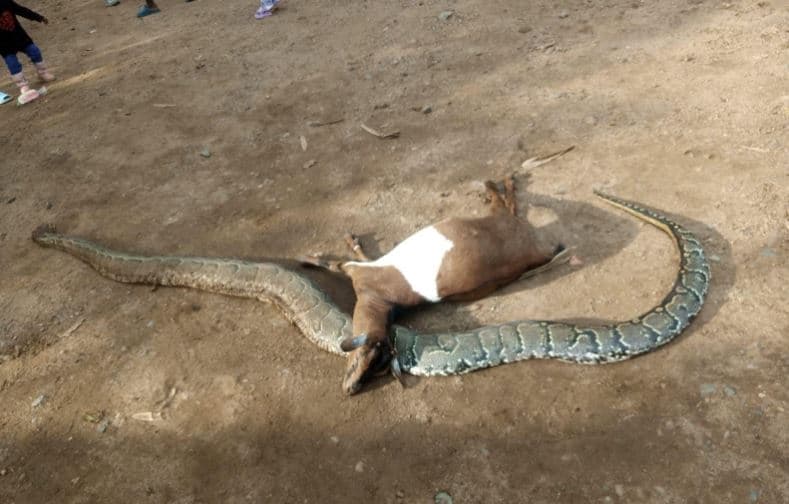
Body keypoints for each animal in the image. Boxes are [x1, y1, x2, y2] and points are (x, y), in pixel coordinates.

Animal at [304, 175, 563, 395]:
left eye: (370, 362)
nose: (351, 388)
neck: (379, 301)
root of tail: (539, 250)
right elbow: (360, 254)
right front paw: (351, 242)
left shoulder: (357, 271)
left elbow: (333, 263)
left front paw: (310, 257)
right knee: (510, 205)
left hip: (497, 219)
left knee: (502, 202)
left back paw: (495, 184)